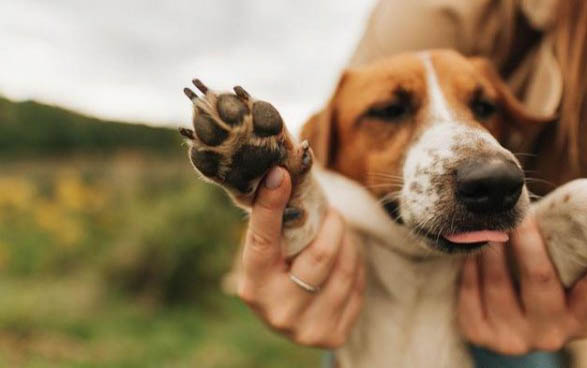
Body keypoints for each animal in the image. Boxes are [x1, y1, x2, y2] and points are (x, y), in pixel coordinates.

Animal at [178, 49, 587, 368]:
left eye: (486, 106)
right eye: (389, 110)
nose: (497, 183)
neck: (418, 269)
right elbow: (303, 209)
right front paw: (254, 154)